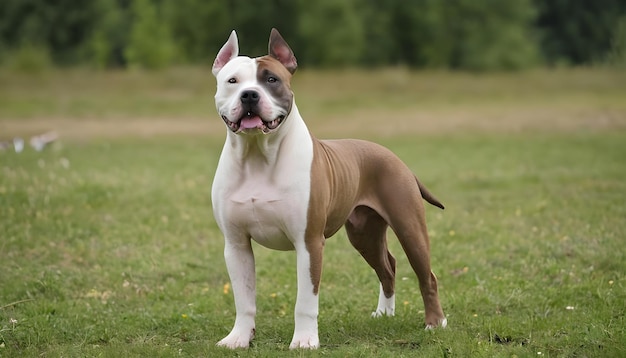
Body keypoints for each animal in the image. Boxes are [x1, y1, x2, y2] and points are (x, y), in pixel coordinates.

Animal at [212, 28, 446, 350]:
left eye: (271, 80)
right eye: (232, 81)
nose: (249, 95)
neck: (257, 155)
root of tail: (393, 156)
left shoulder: (309, 243)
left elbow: (305, 301)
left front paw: (305, 341)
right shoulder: (236, 245)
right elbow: (244, 299)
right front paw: (238, 338)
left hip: (409, 227)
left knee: (427, 276)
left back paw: (435, 323)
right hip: (364, 233)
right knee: (388, 267)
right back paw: (384, 313)